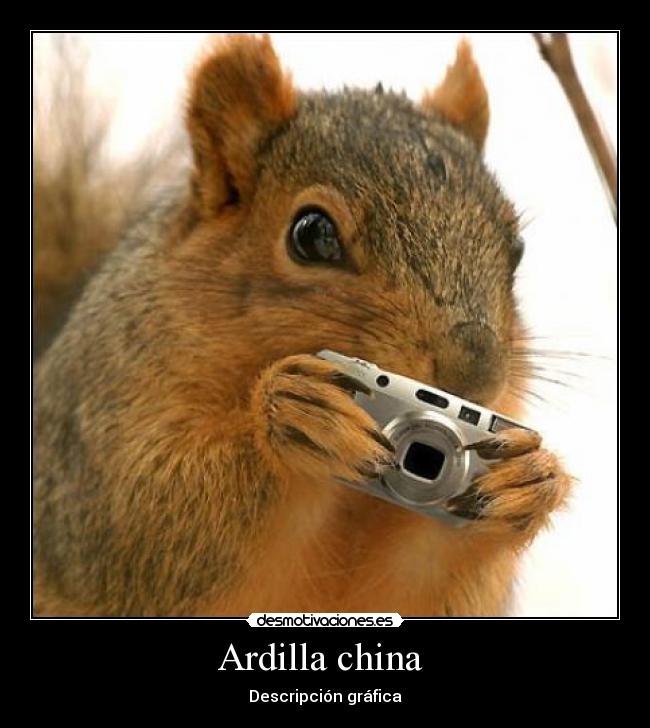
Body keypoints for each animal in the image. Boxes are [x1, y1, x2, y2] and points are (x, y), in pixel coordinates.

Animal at [34, 34, 572, 617]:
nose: (474, 372)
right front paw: (295, 416)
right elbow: (142, 525)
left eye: (517, 251)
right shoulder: (96, 430)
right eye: (311, 234)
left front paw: (530, 480)